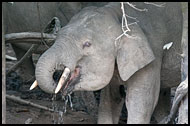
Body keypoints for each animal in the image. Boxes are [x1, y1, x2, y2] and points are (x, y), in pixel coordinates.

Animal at [29, 2, 183, 124]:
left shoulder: (152, 57)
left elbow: (139, 101)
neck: (120, 17)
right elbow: (110, 100)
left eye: (87, 44)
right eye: (59, 34)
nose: (56, 77)